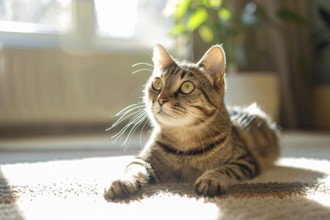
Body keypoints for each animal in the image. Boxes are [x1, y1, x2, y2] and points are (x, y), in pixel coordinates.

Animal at [104, 43, 280, 201]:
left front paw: (210, 178)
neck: (185, 143)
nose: (161, 99)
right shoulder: (143, 159)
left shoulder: (245, 160)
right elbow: (133, 168)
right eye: (157, 84)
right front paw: (123, 180)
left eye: (187, 87)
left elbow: (225, 169)